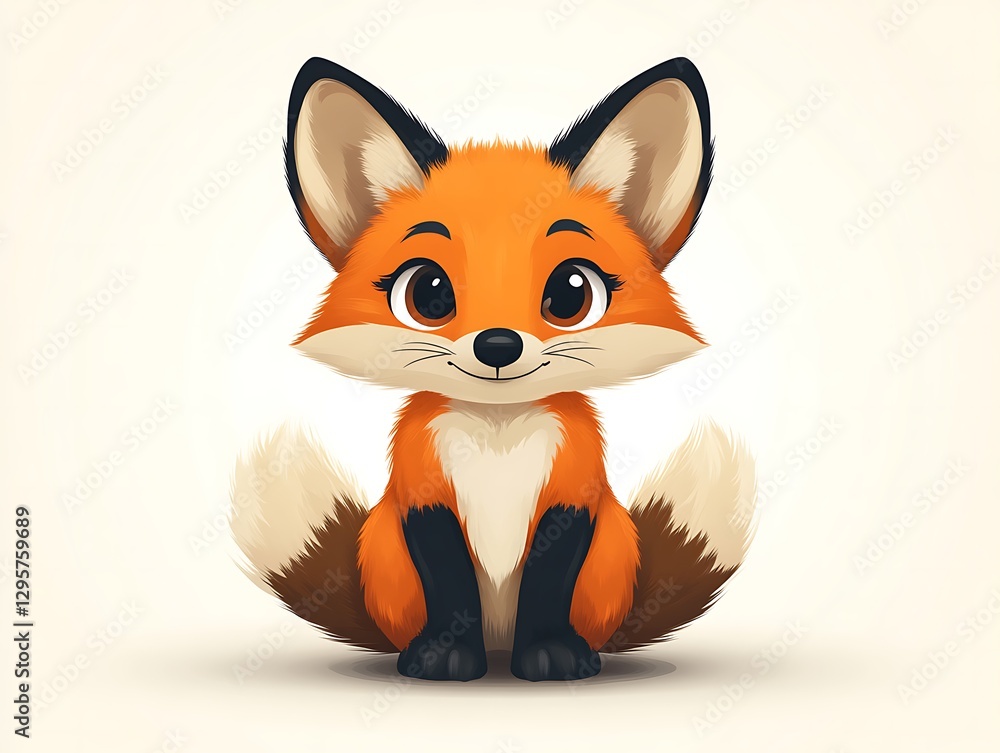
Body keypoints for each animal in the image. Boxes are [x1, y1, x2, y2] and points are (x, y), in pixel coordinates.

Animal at [230, 56, 758, 682]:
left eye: (572, 292)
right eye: (428, 293)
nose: (498, 345)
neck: (497, 438)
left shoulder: (573, 497)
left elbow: (548, 588)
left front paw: (551, 653)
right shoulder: (423, 499)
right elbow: (450, 585)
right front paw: (444, 656)